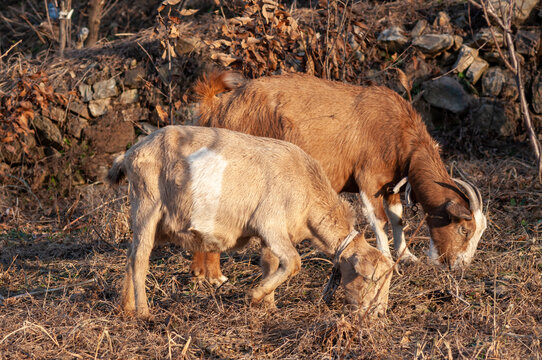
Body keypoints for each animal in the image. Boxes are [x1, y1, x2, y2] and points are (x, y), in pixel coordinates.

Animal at [107, 126, 396, 318]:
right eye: (371, 279)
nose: (377, 315)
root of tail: (131, 153)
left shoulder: (272, 234)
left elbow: (271, 264)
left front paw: (269, 305)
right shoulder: (271, 224)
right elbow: (293, 261)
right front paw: (254, 296)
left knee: (131, 255)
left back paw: (126, 307)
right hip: (147, 204)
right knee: (140, 258)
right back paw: (143, 312)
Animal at [191, 71, 488, 282]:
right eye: (464, 229)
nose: (460, 265)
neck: (399, 134)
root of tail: (219, 106)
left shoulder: (390, 185)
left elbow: (397, 218)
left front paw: (407, 256)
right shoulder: (369, 178)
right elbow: (378, 219)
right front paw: (386, 260)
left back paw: (200, 273)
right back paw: (214, 276)